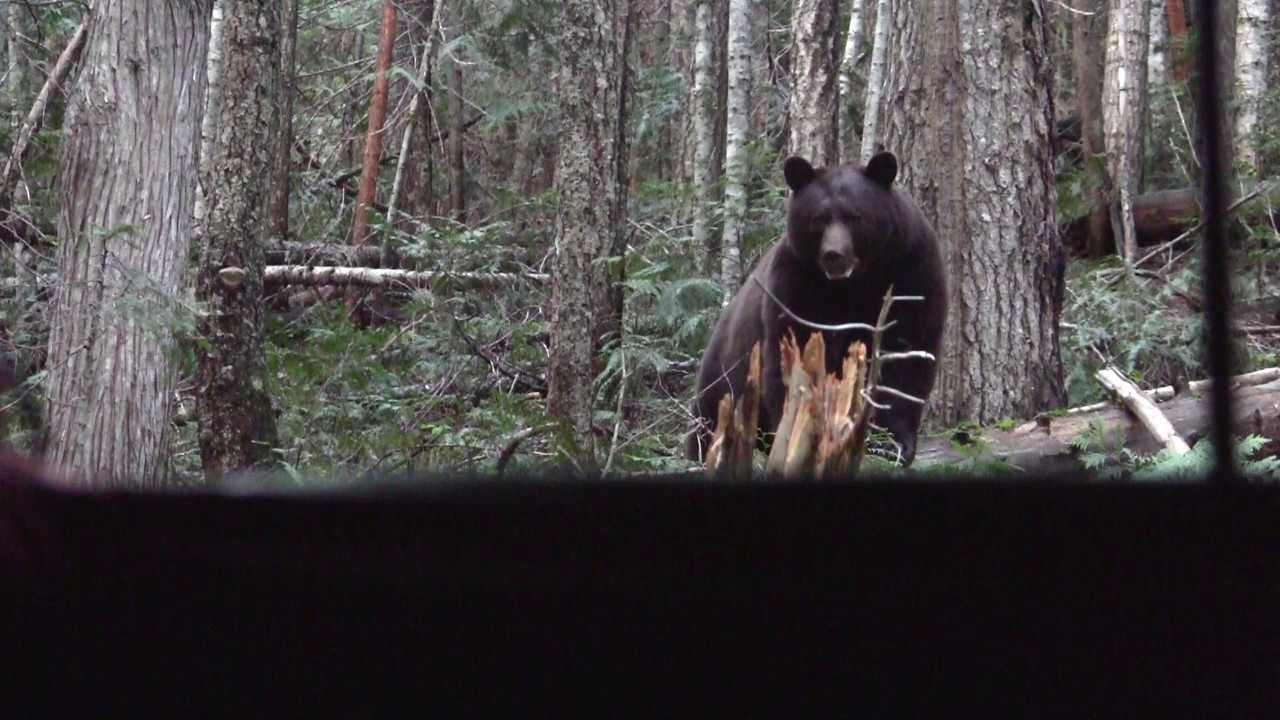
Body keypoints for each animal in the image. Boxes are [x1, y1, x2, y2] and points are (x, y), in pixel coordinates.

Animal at [686, 151, 947, 468]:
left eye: (855, 217)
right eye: (819, 219)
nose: (834, 254)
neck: (856, 282)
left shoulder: (912, 269)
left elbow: (907, 354)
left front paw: (891, 443)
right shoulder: (795, 284)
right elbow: (794, 355)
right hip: (724, 376)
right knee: (707, 425)